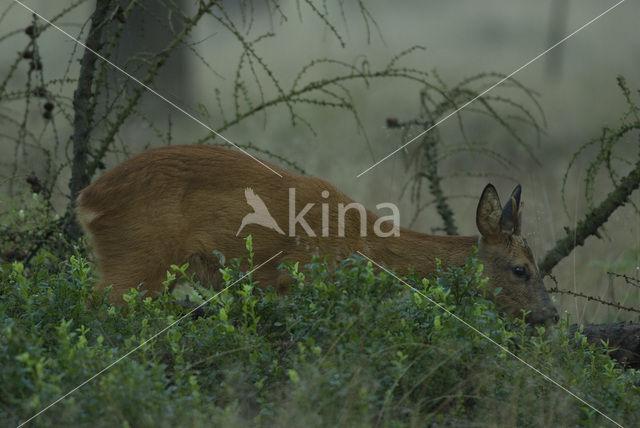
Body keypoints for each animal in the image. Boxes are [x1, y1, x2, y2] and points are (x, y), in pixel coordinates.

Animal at [77, 144, 560, 324]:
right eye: (521, 269)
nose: (552, 316)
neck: (364, 245)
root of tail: (88, 198)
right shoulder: (299, 278)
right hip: (137, 260)